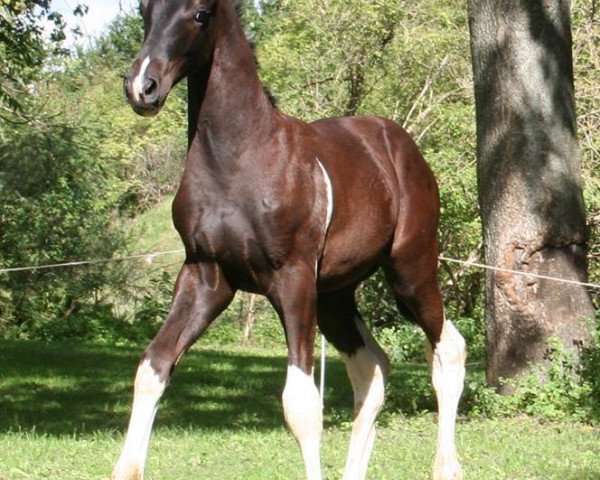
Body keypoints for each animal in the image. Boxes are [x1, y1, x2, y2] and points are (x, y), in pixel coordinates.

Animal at [113, 0, 468, 480]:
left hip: (410, 271)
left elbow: (301, 405)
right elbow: (153, 367)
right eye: (143, 10)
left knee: (448, 348)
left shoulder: (292, 279)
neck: (239, 160)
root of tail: (401, 145)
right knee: (372, 367)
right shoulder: (204, 276)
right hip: (336, 295)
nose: (142, 87)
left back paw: (447, 466)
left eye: (201, 13)